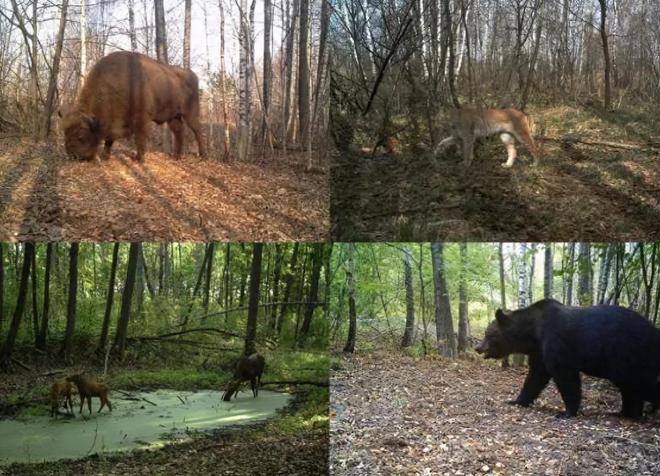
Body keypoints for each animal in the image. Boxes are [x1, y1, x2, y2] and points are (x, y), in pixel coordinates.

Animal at [61, 51, 208, 161]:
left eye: (81, 136)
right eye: (65, 133)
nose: (73, 156)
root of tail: (193, 75)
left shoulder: (141, 118)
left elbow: (139, 138)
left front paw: (139, 158)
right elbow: (110, 139)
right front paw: (105, 156)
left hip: (190, 114)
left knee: (198, 131)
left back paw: (203, 155)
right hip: (173, 116)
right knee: (179, 132)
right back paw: (177, 156)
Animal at [474, 300, 660, 418]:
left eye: (487, 333)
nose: (477, 347)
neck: (534, 332)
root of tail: (655, 331)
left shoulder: (556, 341)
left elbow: (565, 376)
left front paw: (566, 412)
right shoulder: (539, 350)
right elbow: (535, 377)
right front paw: (516, 400)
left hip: (628, 354)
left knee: (640, 384)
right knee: (631, 388)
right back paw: (627, 412)